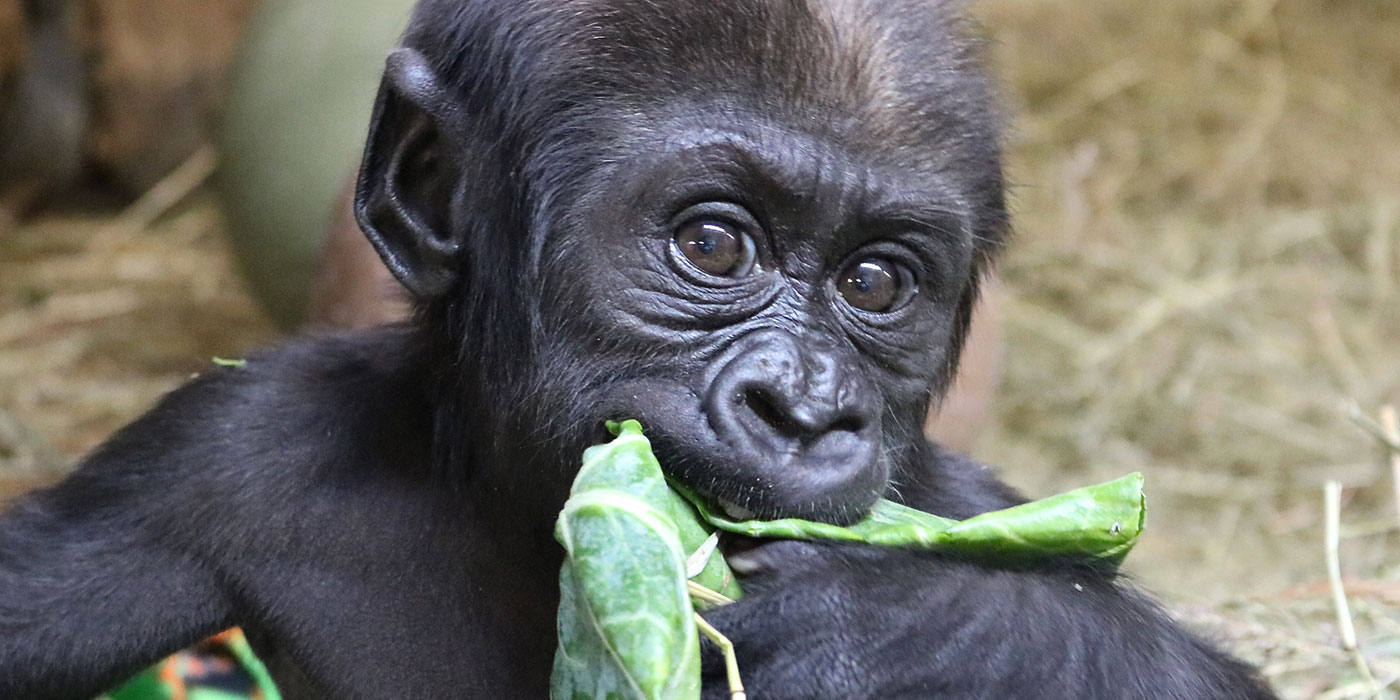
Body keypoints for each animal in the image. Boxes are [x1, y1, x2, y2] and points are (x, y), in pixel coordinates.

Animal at [0, 1, 1282, 700]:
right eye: (712, 244)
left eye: (873, 283)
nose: (803, 408)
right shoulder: (215, 455)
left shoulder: (949, 493)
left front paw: (906, 623)